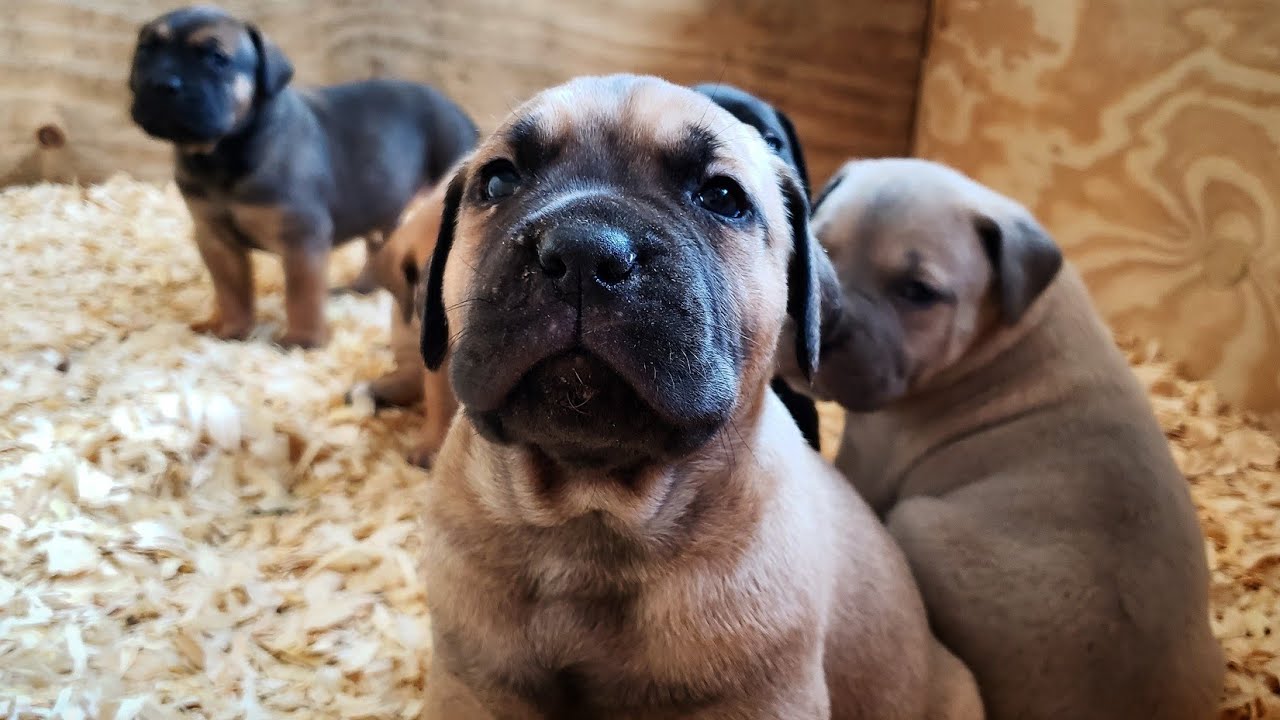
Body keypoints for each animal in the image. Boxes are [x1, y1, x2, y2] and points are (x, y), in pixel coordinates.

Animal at [127, 4, 478, 348]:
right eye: (145, 50)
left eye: (216, 58)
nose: (162, 84)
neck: (223, 151)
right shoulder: (214, 236)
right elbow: (230, 289)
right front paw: (230, 328)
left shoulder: (301, 237)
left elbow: (301, 292)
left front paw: (302, 339)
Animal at [783, 158, 1223, 717]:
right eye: (818, 248)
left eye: (918, 292)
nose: (823, 321)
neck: (1003, 330)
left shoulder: (871, 450)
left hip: (917, 522)